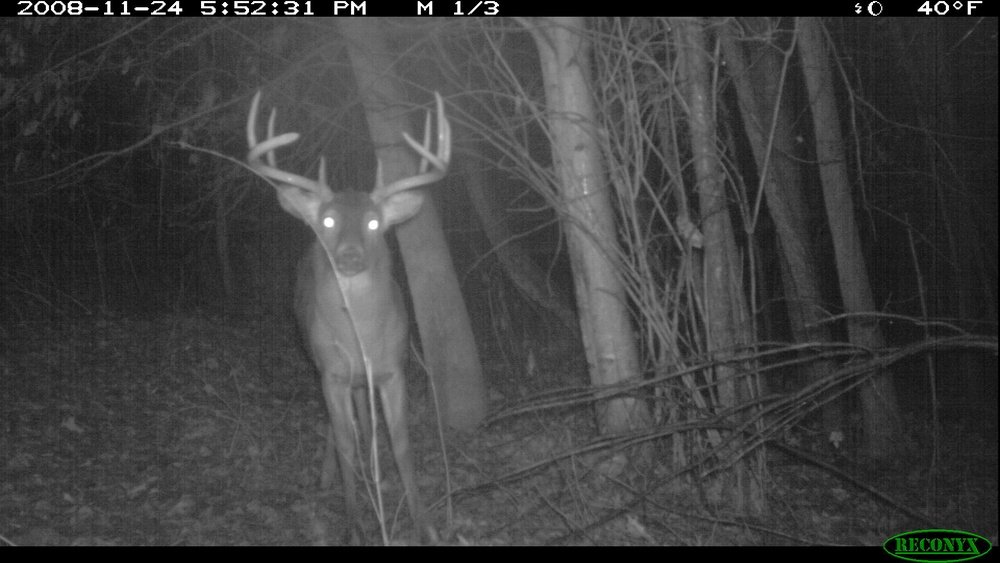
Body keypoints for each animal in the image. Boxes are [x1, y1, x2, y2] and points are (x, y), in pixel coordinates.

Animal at [246, 90, 450, 544]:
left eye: (374, 222)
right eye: (328, 219)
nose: (350, 256)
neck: (362, 337)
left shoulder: (393, 368)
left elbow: (400, 442)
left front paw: (424, 523)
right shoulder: (332, 371)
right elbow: (343, 442)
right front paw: (355, 524)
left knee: (362, 417)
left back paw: (376, 476)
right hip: (317, 360)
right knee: (340, 426)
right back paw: (329, 478)